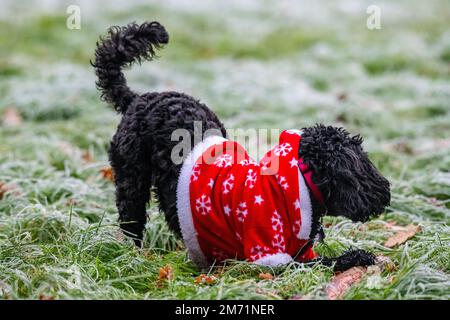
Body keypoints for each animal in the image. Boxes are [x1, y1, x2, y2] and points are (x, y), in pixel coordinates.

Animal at [92, 21, 390, 270]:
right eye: (360, 165)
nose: (384, 192)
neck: (293, 186)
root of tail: (136, 99)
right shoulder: (270, 257)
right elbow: (324, 262)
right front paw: (357, 257)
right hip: (131, 182)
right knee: (131, 222)